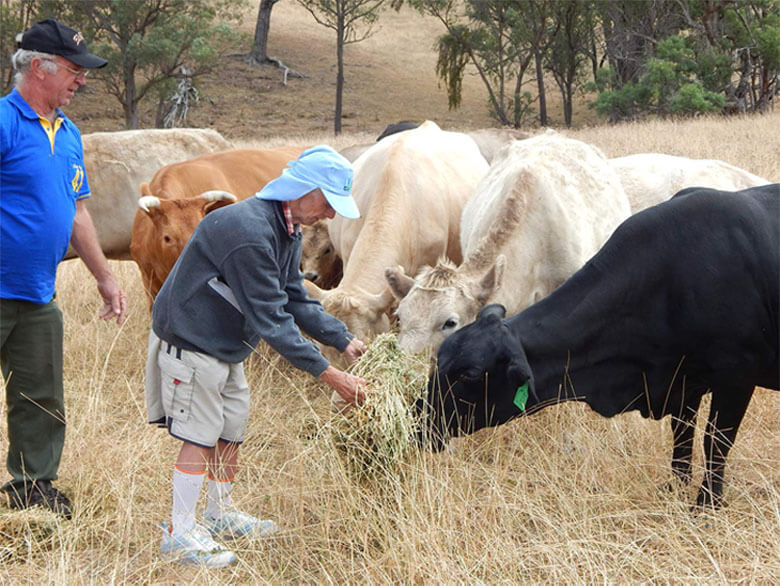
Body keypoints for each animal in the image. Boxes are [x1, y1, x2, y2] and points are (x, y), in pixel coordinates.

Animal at [420, 184, 780, 506]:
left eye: (468, 375)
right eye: (441, 357)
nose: (420, 420)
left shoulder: (735, 378)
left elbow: (716, 442)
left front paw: (707, 504)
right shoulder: (684, 381)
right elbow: (682, 436)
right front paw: (675, 488)